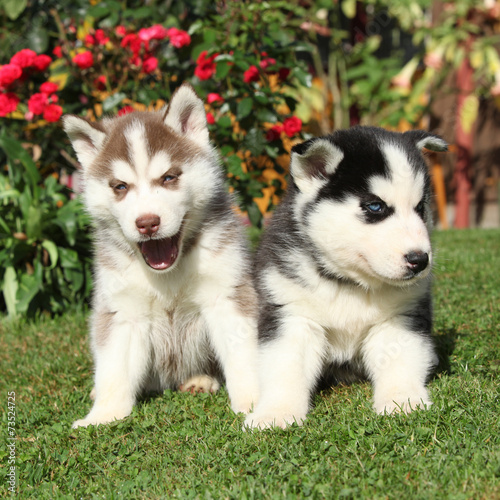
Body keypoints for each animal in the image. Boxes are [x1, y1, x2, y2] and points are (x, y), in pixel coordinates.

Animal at [62, 84, 258, 428]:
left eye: (168, 177)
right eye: (120, 186)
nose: (147, 222)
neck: (168, 272)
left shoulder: (227, 294)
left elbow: (242, 355)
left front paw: (256, 401)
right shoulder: (123, 310)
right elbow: (115, 369)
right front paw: (103, 416)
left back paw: (200, 379)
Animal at [244, 126, 448, 430]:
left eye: (420, 207)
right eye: (375, 207)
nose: (420, 260)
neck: (349, 283)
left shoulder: (399, 317)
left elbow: (401, 360)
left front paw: (402, 400)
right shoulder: (292, 314)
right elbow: (285, 367)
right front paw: (276, 413)